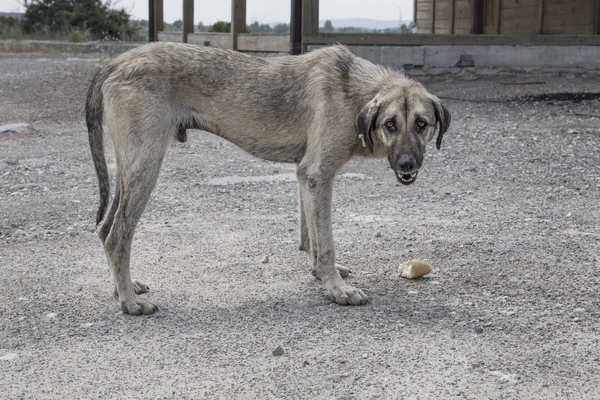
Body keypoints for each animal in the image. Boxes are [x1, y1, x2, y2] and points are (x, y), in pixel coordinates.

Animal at [85, 42, 450, 314]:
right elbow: (326, 243)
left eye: (422, 124)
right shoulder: (318, 175)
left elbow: (310, 236)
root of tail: (116, 61)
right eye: (390, 124)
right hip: (146, 166)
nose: (407, 165)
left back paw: (124, 288)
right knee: (117, 236)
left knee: (105, 229)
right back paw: (130, 303)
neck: (353, 92)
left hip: (130, 169)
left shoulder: (306, 176)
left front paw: (320, 274)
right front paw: (337, 289)